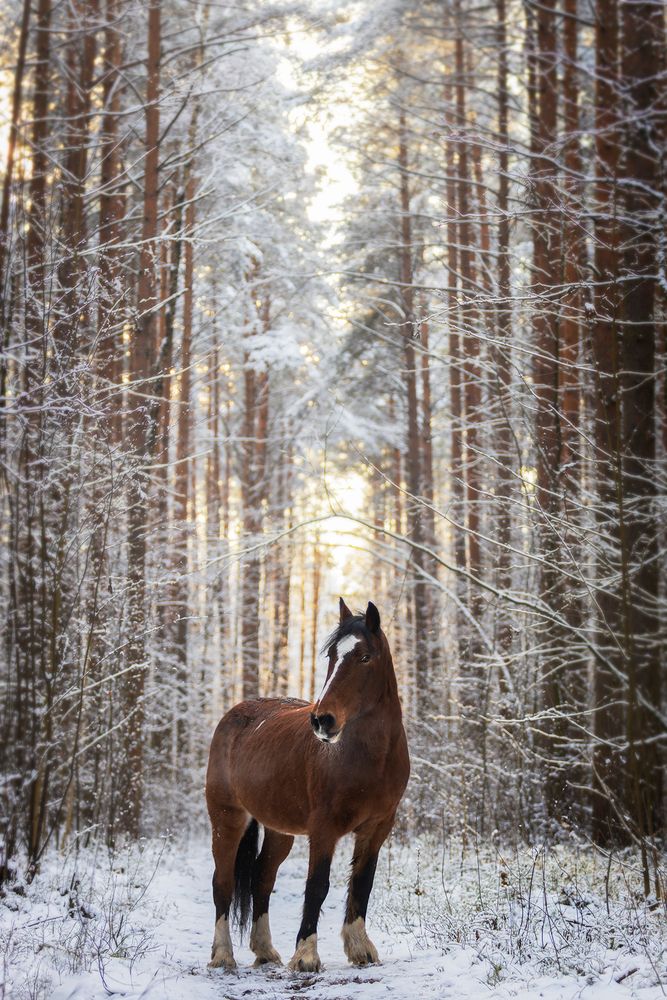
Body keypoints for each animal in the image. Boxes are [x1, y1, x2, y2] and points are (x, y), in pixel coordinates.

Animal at [205, 597, 410, 973]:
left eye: (365, 657)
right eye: (332, 656)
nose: (322, 720)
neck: (369, 759)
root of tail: (234, 715)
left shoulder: (377, 828)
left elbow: (362, 883)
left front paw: (360, 949)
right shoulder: (324, 829)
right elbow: (318, 885)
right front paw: (306, 956)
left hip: (278, 830)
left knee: (261, 878)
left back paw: (264, 950)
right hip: (226, 819)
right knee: (223, 882)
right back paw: (223, 955)